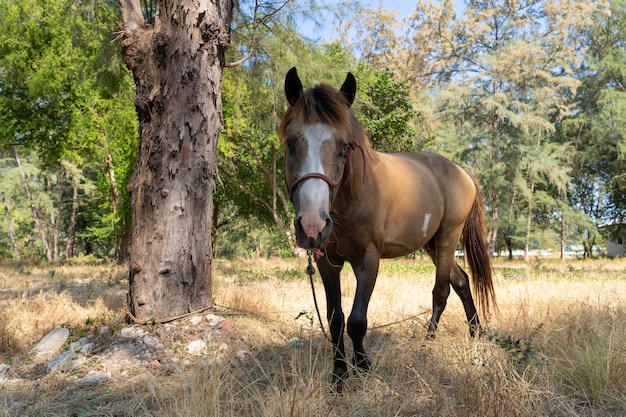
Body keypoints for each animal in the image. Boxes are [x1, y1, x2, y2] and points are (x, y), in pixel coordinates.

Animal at [278, 67, 492, 390]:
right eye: (291, 142)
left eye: (344, 147)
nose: (312, 226)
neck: (349, 200)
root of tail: (461, 172)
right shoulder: (328, 262)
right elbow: (335, 318)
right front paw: (339, 375)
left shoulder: (368, 258)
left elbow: (357, 320)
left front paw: (364, 368)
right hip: (431, 244)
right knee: (462, 282)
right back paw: (475, 333)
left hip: (447, 238)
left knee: (441, 292)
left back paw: (426, 345)